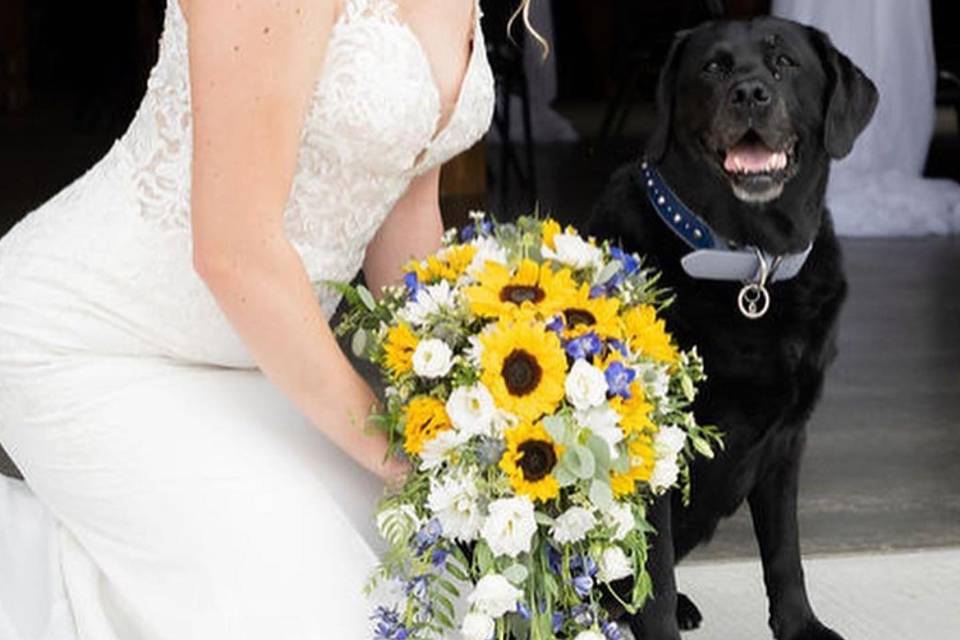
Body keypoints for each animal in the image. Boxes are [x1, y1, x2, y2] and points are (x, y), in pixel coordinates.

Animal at [584, 15, 876, 640]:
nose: (749, 94)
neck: (750, 262)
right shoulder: (650, 447)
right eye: (714, 68)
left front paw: (801, 627)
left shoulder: (788, 440)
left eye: (784, 62)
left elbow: (785, 552)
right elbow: (654, 577)